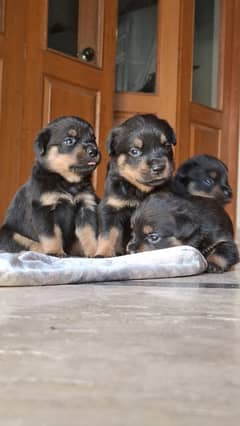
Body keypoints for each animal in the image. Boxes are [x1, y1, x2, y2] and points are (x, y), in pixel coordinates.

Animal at [0, 115, 101, 256]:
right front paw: (55, 252)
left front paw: (94, 253)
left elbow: (89, 234)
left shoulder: (86, 206)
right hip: (10, 234)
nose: (94, 151)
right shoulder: (44, 209)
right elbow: (51, 235)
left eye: (93, 139)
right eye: (69, 141)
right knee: (30, 245)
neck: (67, 181)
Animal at [95, 113, 176, 258]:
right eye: (134, 151)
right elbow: (107, 234)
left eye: (166, 145)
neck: (140, 190)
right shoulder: (110, 207)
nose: (159, 167)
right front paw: (103, 254)